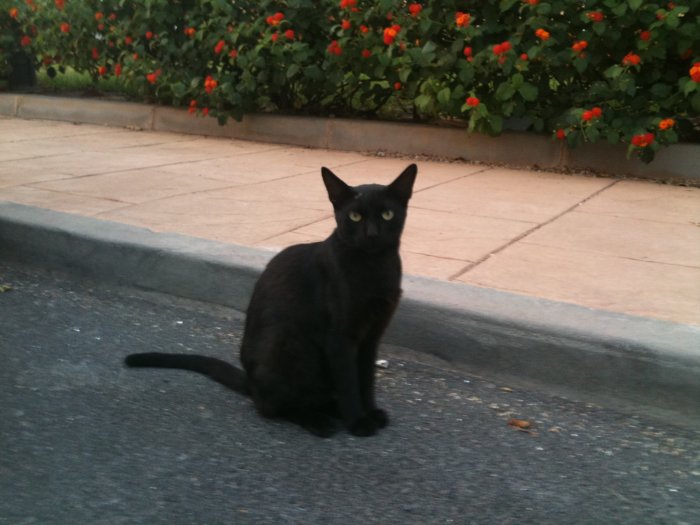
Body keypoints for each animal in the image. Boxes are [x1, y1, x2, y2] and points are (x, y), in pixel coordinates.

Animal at [125, 163, 416, 434]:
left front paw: (371, 412)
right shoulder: (340, 339)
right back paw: (317, 421)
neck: (376, 268)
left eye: (387, 214)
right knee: (273, 407)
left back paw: (331, 410)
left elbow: (365, 380)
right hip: (288, 346)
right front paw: (358, 421)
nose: (372, 234)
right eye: (354, 216)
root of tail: (251, 382)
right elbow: (348, 382)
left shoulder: (370, 338)